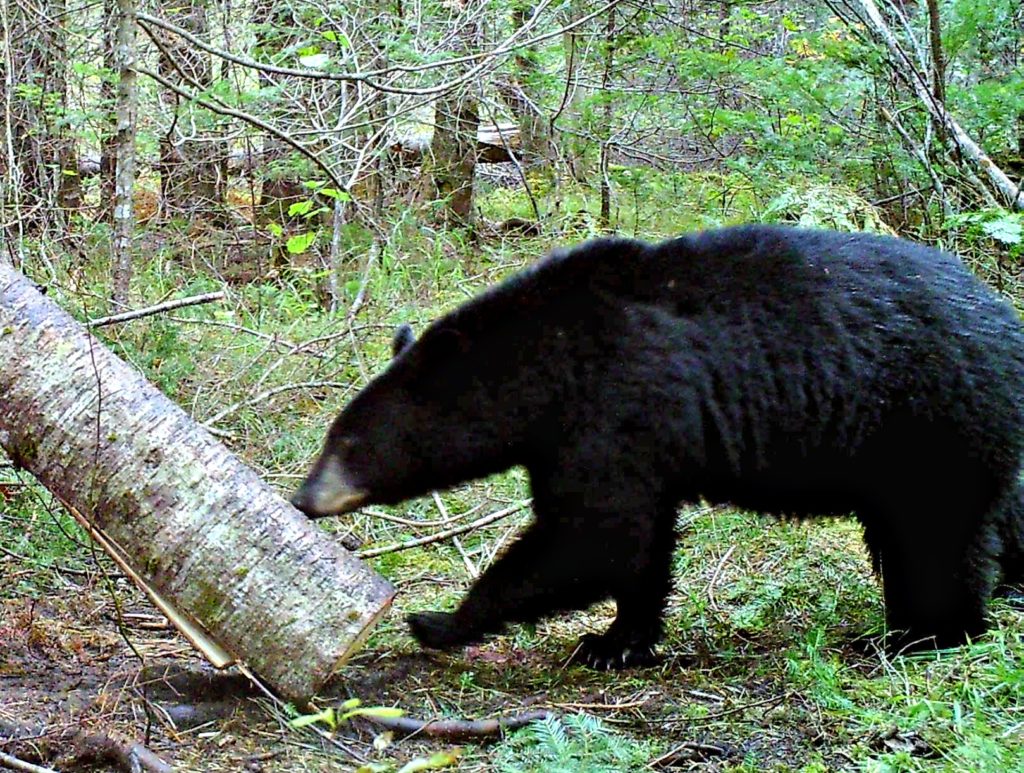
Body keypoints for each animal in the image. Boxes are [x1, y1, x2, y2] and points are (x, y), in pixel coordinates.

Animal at [288, 226, 1024, 667]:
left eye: (346, 439)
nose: (300, 498)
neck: (548, 363)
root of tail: (1006, 318)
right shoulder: (606, 438)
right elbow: (635, 544)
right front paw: (620, 640)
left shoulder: (617, 404)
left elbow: (595, 532)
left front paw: (440, 620)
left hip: (929, 417)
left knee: (936, 533)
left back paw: (921, 634)